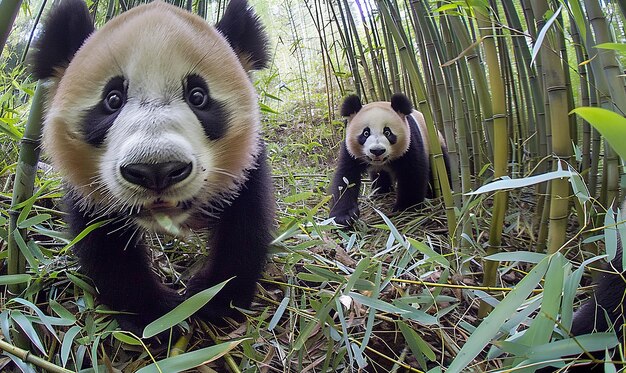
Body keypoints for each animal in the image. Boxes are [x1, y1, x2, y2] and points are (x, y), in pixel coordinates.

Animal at [29, 0, 272, 332]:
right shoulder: (88, 188)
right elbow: (104, 244)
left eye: (198, 96)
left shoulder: (247, 163)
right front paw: (156, 315)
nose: (157, 170)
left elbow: (244, 224)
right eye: (113, 99)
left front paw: (215, 299)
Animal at [330, 94, 446, 225]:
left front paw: (406, 208)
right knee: (380, 176)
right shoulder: (350, 151)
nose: (377, 151)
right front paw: (344, 216)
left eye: (387, 132)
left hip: (434, 144)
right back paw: (381, 193)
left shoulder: (410, 143)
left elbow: (412, 174)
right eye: (365, 133)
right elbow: (346, 178)